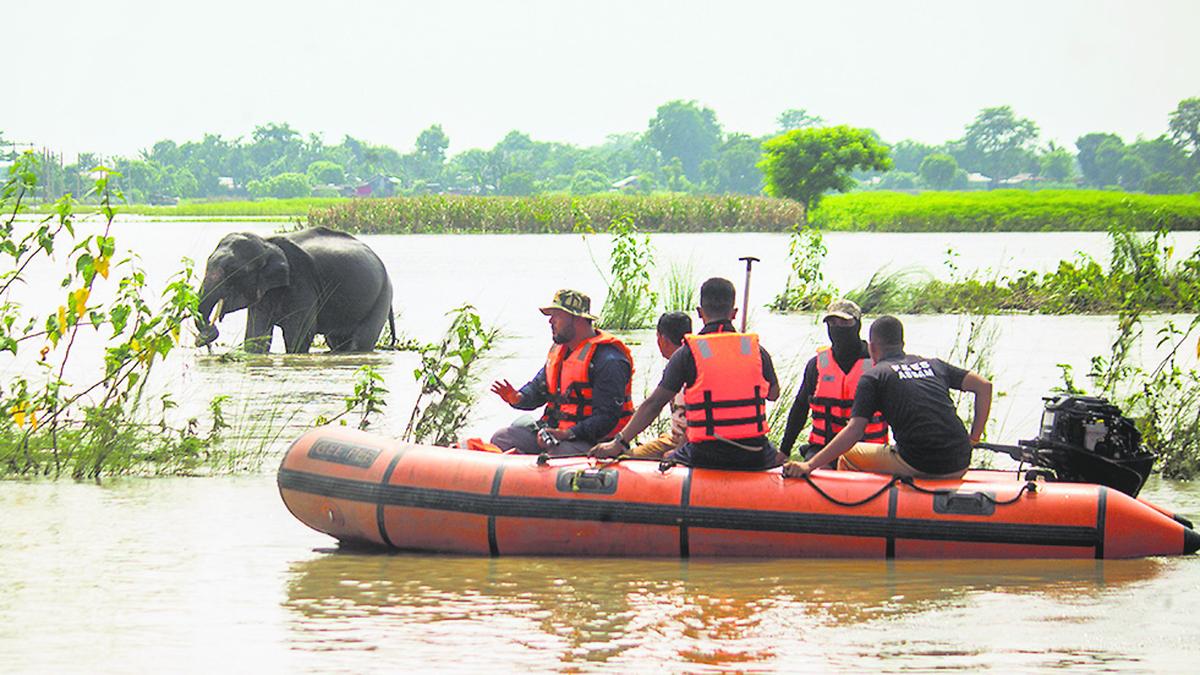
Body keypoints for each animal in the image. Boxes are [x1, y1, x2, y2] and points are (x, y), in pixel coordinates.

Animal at [194, 225, 396, 353]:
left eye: (233, 271)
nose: (205, 335)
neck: (266, 244)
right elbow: (256, 335)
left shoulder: (301, 280)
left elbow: (298, 335)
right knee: (336, 342)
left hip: (382, 296)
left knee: (361, 341)